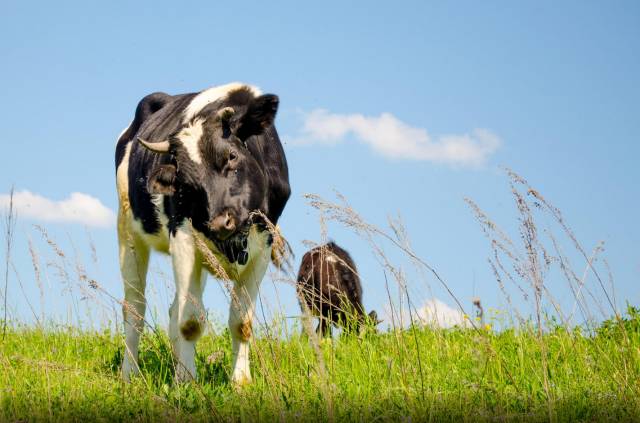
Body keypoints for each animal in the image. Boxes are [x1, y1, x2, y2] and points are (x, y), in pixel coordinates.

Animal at [114, 82, 290, 384]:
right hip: (127, 230)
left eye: (232, 156)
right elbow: (190, 321)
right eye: (184, 181)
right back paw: (130, 373)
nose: (219, 223)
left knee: (172, 309)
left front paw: (240, 381)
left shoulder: (264, 245)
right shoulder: (183, 237)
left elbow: (242, 322)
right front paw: (186, 380)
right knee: (134, 307)